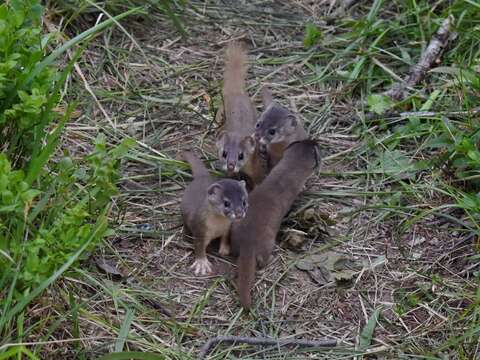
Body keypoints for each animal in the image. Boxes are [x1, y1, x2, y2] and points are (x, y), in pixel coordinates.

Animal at [231, 139, 320, 310]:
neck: (285, 175)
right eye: (316, 148)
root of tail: (247, 241)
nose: (315, 139)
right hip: (267, 242)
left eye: (306, 141)